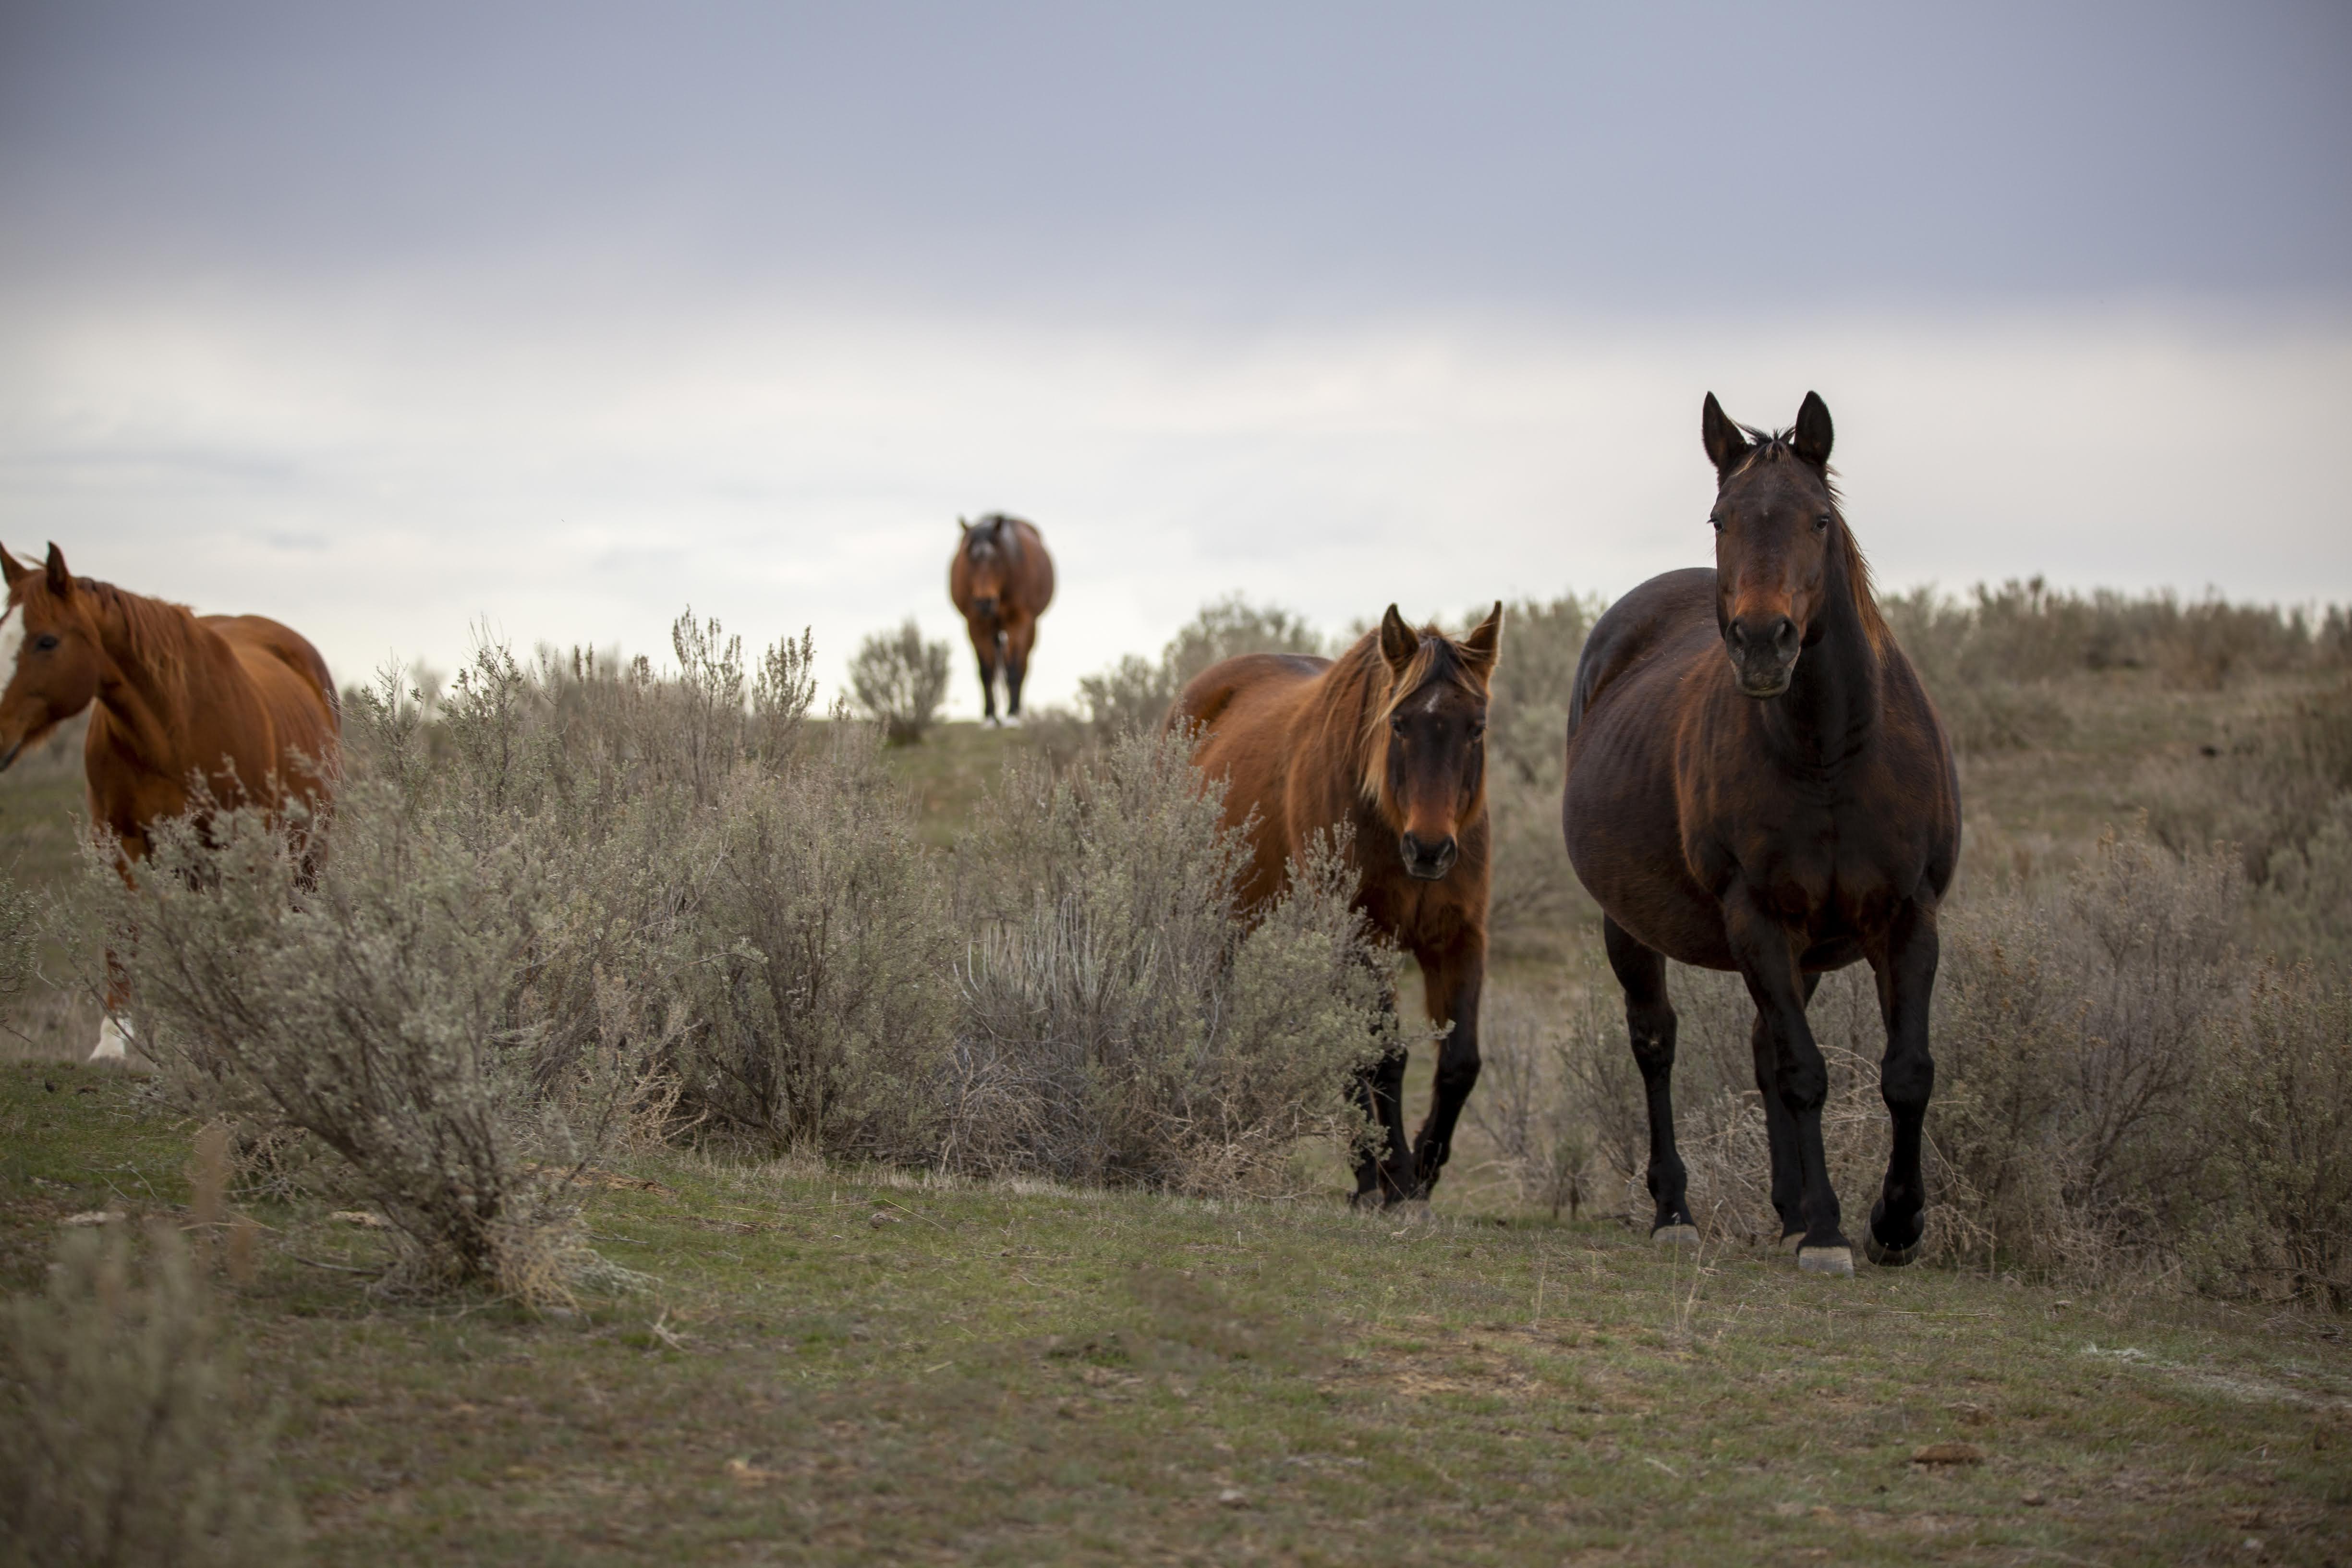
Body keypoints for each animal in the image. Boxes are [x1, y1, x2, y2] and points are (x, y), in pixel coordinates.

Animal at [0, 544, 342, 1061]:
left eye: (46, 641)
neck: (171, 726)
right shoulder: (118, 837)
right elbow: (122, 929)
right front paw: (113, 1041)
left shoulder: (237, 846)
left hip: (307, 852)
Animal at [948, 513, 1055, 725]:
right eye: (969, 559)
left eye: (997, 559)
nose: (984, 602)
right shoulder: (976, 624)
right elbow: (986, 671)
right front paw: (990, 716)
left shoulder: (1020, 620)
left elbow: (1014, 668)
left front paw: (1012, 715)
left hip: (1029, 627)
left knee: (1021, 664)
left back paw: (1016, 710)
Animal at [1172, 603, 1503, 1206]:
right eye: (1398, 724)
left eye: (1476, 727)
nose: (1429, 849)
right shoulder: (1359, 936)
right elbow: (1384, 1056)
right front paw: (1395, 1175)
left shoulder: (1458, 938)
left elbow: (1460, 1061)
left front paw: (1423, 1168)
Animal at [1561, 392, 1959, 1275]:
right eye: (1721, 518)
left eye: (1819, 519)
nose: (1761, 641)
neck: (1830, 752)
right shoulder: (1757, 915)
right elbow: (1804, 1071)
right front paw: (1830, 1231)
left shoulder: (1908, 914)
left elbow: (1906, 1071)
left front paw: (1894, 1222)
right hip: (1629, 926)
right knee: (1657, 1044)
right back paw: (1676, 1210)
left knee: (1758, 1046)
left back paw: (1787, 1208)